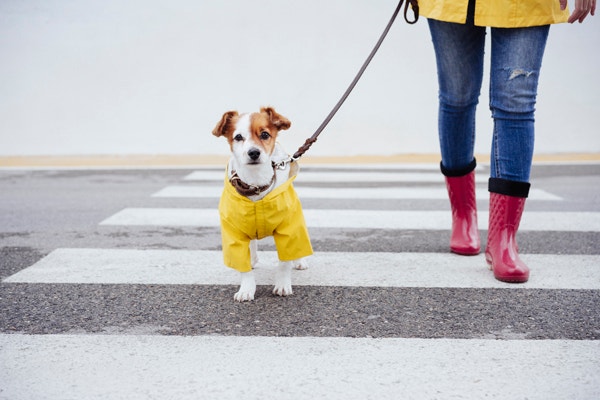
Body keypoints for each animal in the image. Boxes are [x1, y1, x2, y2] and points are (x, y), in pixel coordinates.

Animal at [212, 106, 314, 300]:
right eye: (238, 137)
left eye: (265, 134)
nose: (253, 152)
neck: (256, 184)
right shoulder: (234, 234)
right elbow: (243, 267)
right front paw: (246, 289)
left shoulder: (288, 229)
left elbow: (285, 262)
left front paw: (282, 285)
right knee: (252, 245)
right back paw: (252, 259)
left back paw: (300, 261)